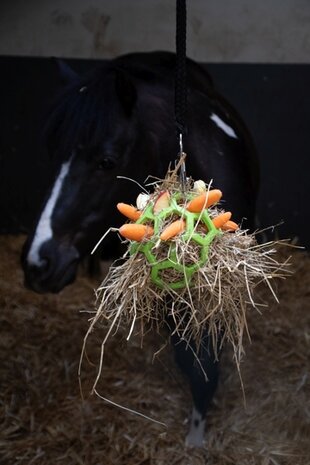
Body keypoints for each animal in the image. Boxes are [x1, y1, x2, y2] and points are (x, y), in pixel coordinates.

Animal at [21, 50, 260, 446]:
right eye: (52, 154)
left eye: (106, 161)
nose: (38, 263)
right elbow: (189, 355)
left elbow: (204, 358)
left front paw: (197, 436)